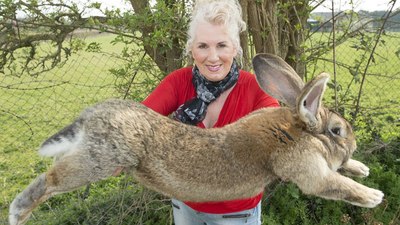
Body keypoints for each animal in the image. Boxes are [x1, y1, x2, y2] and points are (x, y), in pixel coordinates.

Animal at [9, 53, 384, 224]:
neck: (295, 129)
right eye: (337, 130)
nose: (353, 145)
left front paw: (361, 168)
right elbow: (333, 185)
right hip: (100, 160)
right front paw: (373, 195)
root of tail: (90, 117)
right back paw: (18, 212)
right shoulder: (307, 169)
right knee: (50, 179)